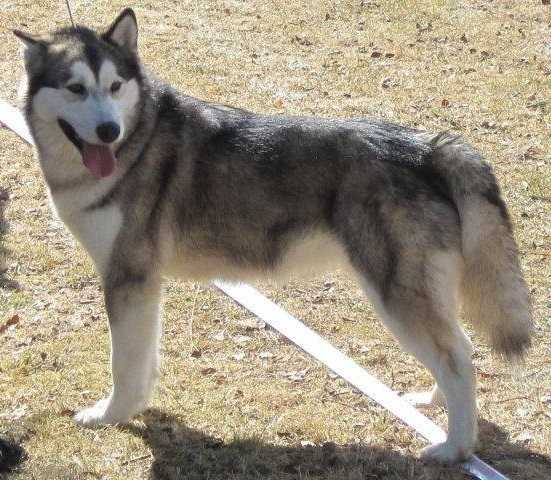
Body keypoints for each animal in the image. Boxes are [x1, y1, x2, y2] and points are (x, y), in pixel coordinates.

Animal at [15, 8, 532, 464]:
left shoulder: (128, 278)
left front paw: (110, 415)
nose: (108, 129)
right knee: (456, 350)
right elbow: (143, 360)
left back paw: (455, 448)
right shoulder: (146, 287)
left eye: (114, 86)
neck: (135, 141)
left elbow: (122, 364)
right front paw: (138, 409)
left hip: (396, 297)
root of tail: (428, 148)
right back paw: (434, 403)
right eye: (76, 88)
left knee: (457, 358)